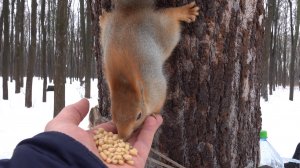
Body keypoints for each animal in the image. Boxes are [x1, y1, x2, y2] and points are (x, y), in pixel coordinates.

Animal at [99, 0, 200, 139]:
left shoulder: (155, 87)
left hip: (163, 32)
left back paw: (184, 12)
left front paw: (154, 114)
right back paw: (103, 19)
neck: (123, 80)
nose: (123, 136)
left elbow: (159, 101)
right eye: (112, 116)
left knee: (170, 17)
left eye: (139, 116)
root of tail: (129, 11)